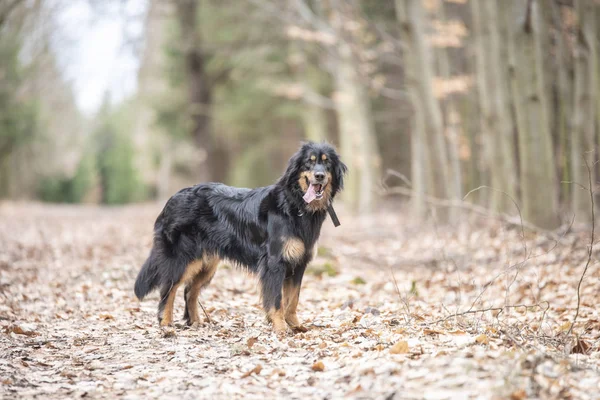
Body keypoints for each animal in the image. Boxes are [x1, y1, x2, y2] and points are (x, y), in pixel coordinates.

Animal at [133, 142, 344, 336]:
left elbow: (293, 300)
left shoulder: (298, 263)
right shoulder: (275, 263)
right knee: (168, 289)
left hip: (206, 263)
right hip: (182, 258)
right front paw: (280, 327)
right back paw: (166, 324)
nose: (319, 175)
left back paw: (196, 322)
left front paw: (296, 325)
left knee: (189, 291)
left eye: (327, 163)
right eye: (309, 162)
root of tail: (172, 199)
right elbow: (276, 300)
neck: (294, 204)